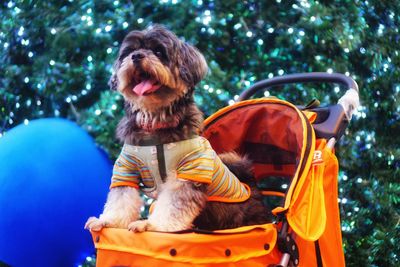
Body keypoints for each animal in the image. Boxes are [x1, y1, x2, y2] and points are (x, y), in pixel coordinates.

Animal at [84, 25, 272, 234]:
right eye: (129, 51)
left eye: (159, 52)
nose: (136, 56)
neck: (155, 124)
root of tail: (252, 186)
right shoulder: (126, 169)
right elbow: (120, 198)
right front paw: (108, 221)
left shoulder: (189, 171)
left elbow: (174, 204)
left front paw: (152, 225)